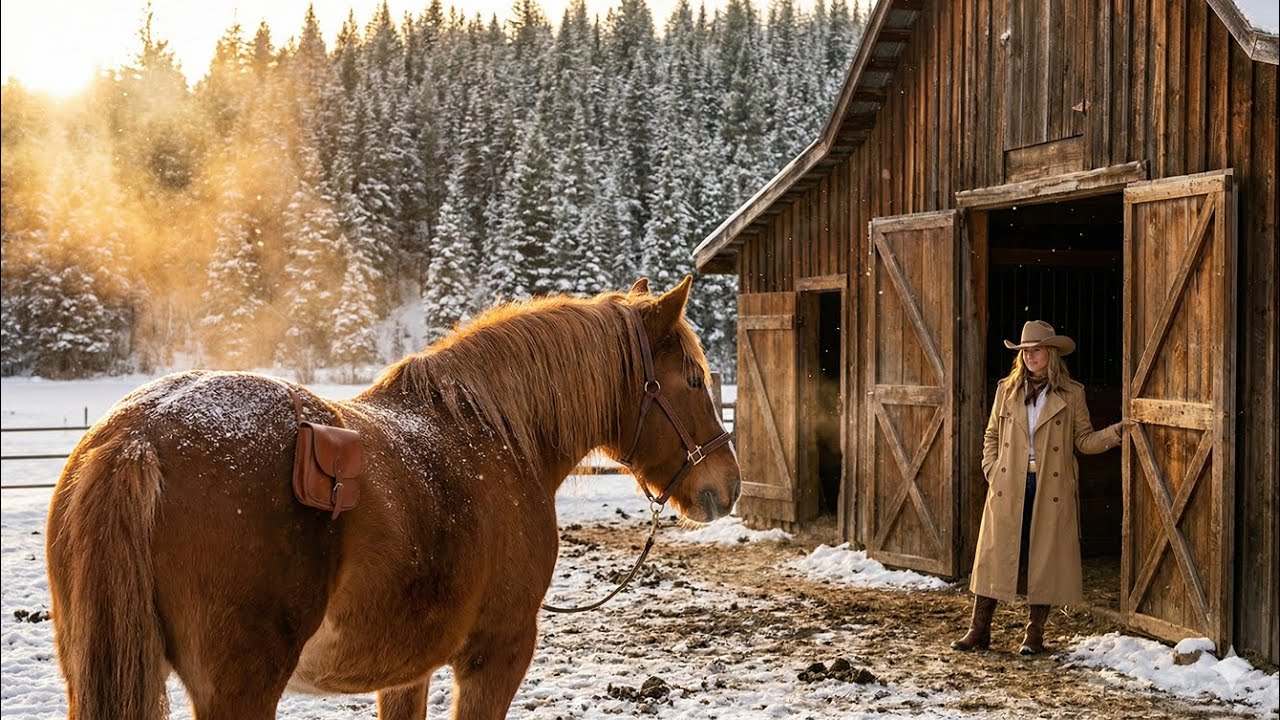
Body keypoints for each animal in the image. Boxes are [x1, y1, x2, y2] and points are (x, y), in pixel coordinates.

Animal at [44, 276, 741, 720]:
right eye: (695, 378)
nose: (727, 485)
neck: (498, 437)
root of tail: (137, 436)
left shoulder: (409, 670)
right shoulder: (496, 654)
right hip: (238, 688)